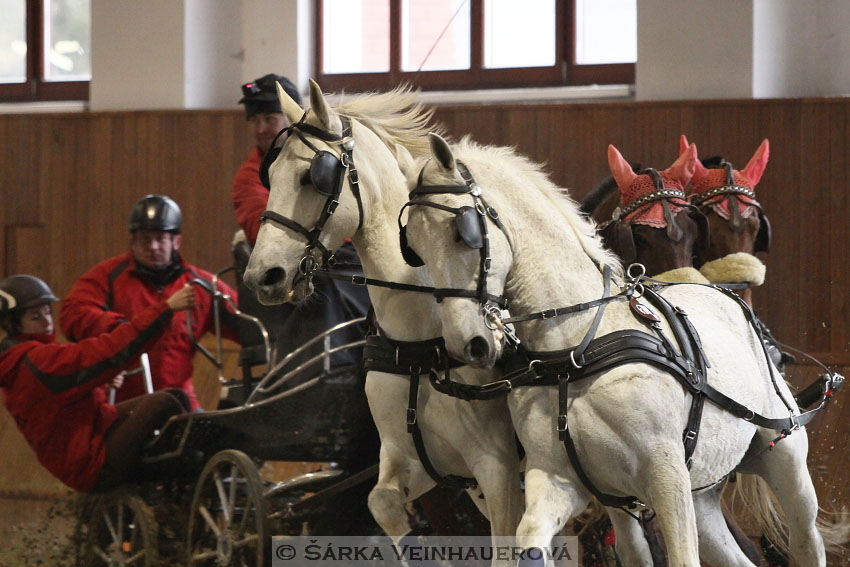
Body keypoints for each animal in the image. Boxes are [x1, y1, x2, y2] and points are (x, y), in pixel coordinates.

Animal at [240, 82, 524, 552]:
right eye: (270, 175)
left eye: (313, 177)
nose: (262, 276)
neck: (422, 344)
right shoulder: (413, 461)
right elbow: (383, 505)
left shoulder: (498, 469)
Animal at [400, 134, 824, 567]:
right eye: (412, 246)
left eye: (462, 232)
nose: (467, 343)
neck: (577, 348)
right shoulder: (557, 479)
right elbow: (531, 543)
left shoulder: (667, 478)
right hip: (704, 492)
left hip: (785, 464)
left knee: (806, 539)